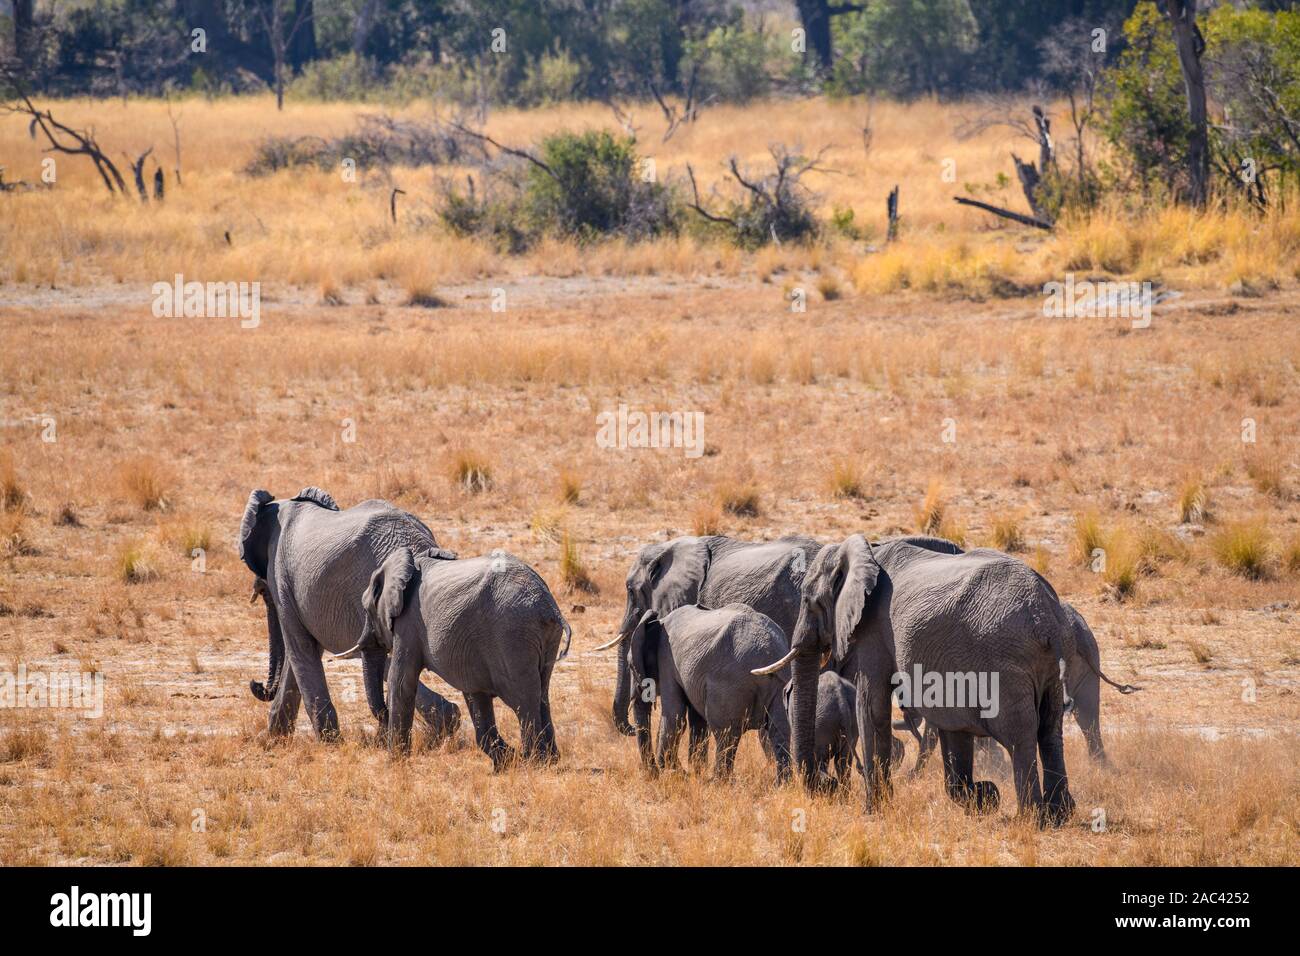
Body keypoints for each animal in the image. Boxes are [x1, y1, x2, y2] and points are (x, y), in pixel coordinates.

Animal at [238, 487, 460, 741]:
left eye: (264, 592)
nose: (256, 684)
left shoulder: (280, 576)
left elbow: (299, 646)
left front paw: (327, 742)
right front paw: (274, 741)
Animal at [347, 545, 571, 767]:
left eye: (367, 609)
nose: (383, 715)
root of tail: (548, 605)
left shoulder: (408, 623)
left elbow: (401, 682)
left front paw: (395, 762)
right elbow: (475, 693)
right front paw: (505, 759)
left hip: (512, 635)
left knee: (522, 697)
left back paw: (533, 762)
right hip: (540, 637)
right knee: (542, 692)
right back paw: (549, 760)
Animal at [625, 604, 791, 782]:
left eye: (630, 666)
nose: (652, 773)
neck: (658, 621)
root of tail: (768, 651)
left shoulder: (667, 660)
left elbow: (674, 715)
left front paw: (675, 772)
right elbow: (696, 720)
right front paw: (693, 772)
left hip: (730, 685)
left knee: (726, 733)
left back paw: (719, 782)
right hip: (779, 683)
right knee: (779, 731)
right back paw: (781, 784)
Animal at [755, 534, 1078, 826]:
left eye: (810, 602)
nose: (824, 785)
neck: (867, 551)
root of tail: (1043, 614)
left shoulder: (874, 626)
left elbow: (871, 706)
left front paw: (873, 810)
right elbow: (953, 724)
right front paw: (983, 796)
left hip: (1005, 660)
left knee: (1019, 733)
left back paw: (1031, 817)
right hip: (1051, 665)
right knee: (1050, 727)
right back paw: (1059, 813)